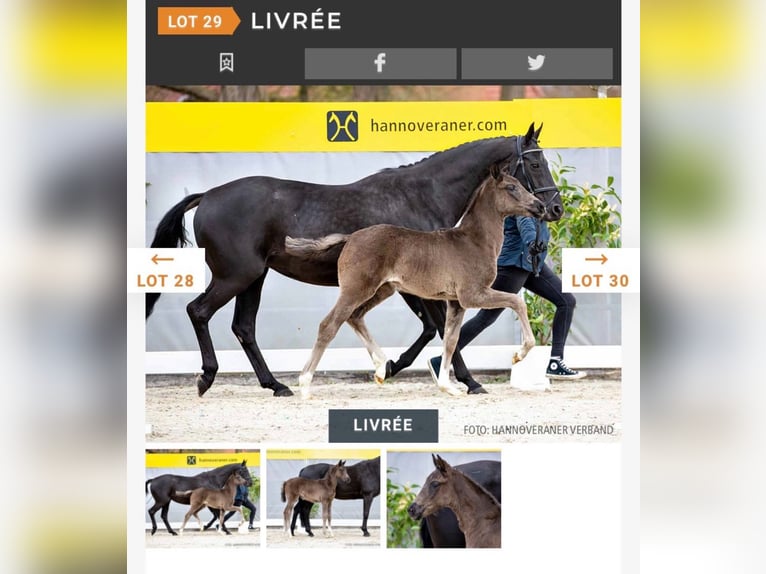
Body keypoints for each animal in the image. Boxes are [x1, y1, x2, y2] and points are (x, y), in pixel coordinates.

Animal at [285, 167, 544, 398]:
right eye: (511, 187)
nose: (540, 206)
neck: (473, 241)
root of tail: (350, 238)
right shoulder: (473, 294)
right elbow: (517, 303)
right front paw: (519, 354)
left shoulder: (455, 302)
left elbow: (450, 340)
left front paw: (447, 386)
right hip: (356, 289)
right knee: (329, 325)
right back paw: (305, 385)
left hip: (383, 290)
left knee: (355, 316)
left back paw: (382, 368)